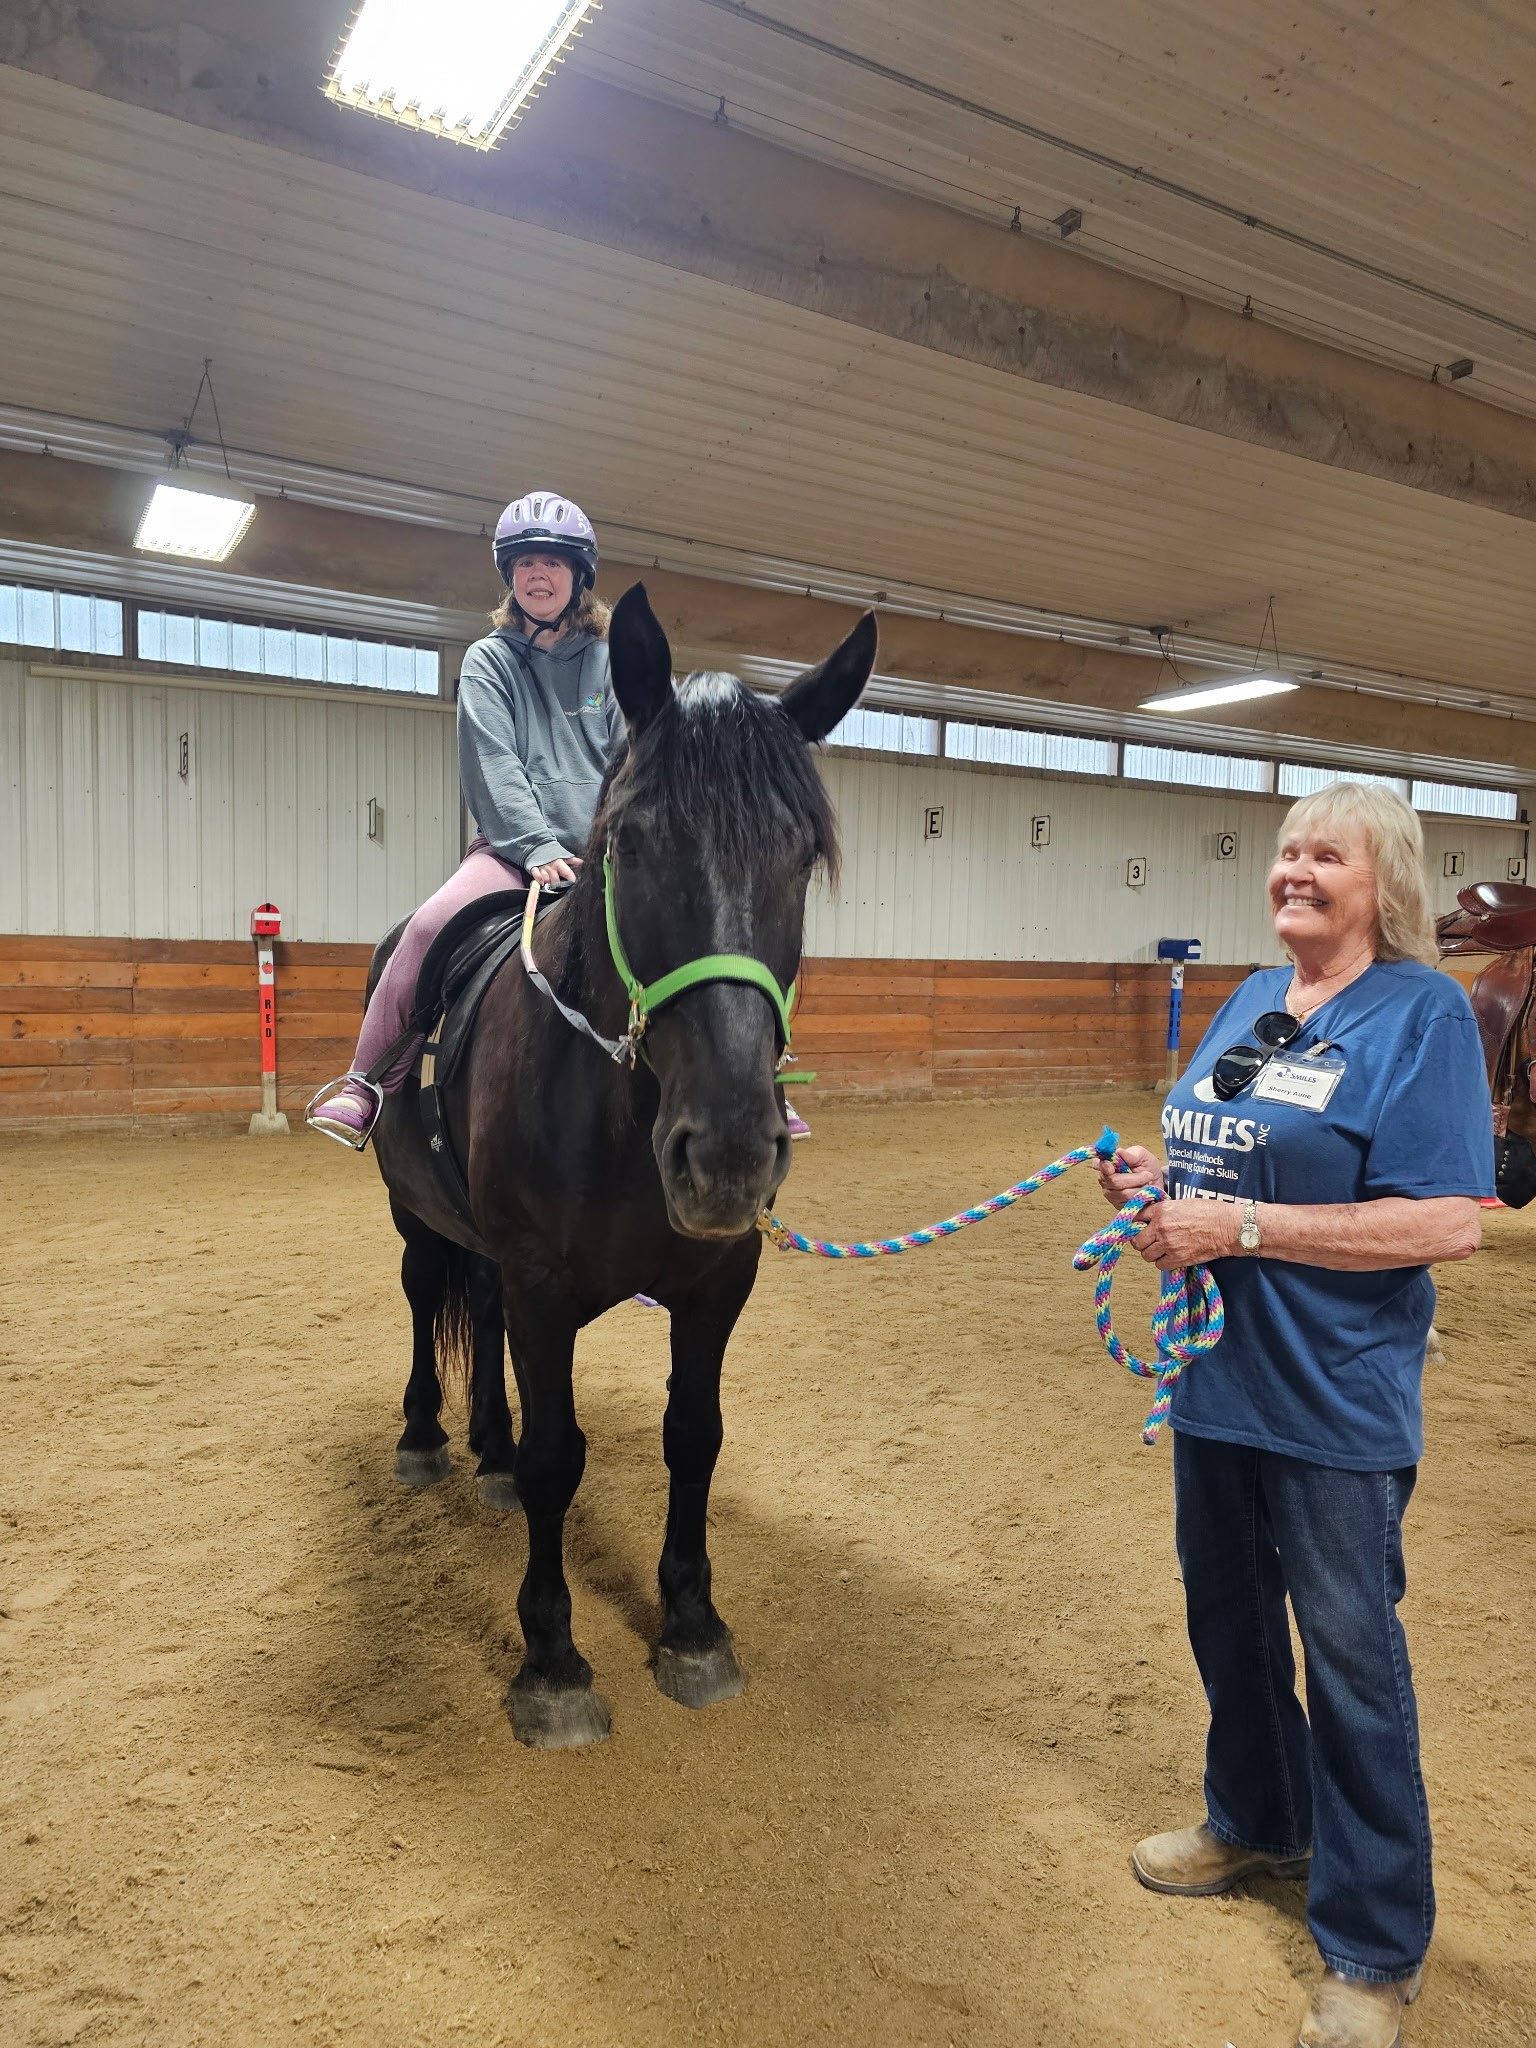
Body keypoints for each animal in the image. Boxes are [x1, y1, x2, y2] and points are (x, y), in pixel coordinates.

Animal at [367, 584, 877, 1747]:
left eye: (801, 855)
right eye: (633, 846)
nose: (729, 1152)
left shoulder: (717, 1283)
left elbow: (695, 1435)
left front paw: (692, 1624)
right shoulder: (544, 1285)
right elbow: (562, 1456)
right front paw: (553, 1662)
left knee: (484, 1331)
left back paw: (490, 1452)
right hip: (415, 1217)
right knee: (424, 1299)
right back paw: (428, 1438)